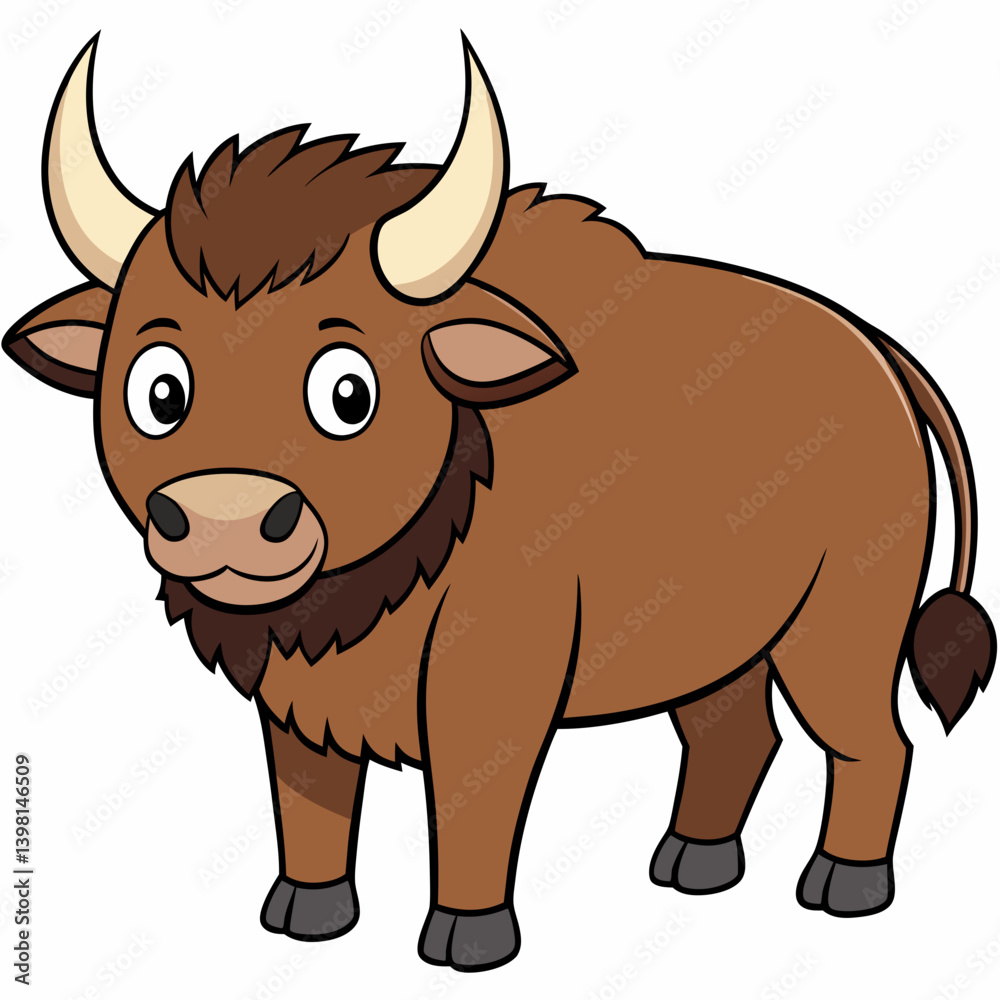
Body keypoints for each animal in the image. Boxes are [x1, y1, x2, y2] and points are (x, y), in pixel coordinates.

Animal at [4, 33, 996, 972]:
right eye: (159, 388)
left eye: (348, 391)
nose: (224, 518)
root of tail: (875, 348)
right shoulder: (297, 702)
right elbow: (311, 805)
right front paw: (306, 917)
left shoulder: (489, 693)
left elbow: (470, 808)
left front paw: (466, 938)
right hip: (722, 645)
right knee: (736, 736)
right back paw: (692, 864)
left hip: (839, 635)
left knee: (875, 744)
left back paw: (844, 885)